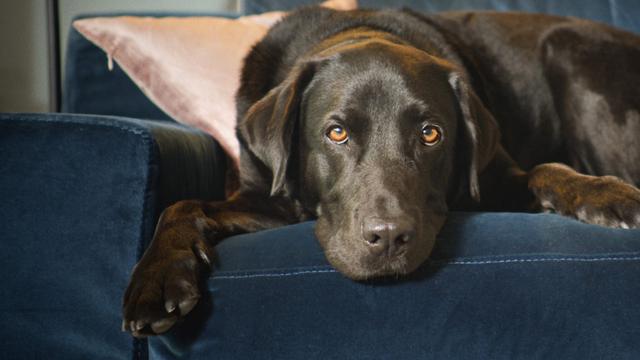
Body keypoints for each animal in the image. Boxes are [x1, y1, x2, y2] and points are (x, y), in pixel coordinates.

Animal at [122, 6, 640, 338]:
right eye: (336, 133)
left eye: (431, 134)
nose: (388, 238)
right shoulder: (267, 199)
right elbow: (182, 204)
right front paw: (156, 280)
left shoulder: (495, 172)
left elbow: (548, 169)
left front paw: (606, 196)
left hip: (572, 54)